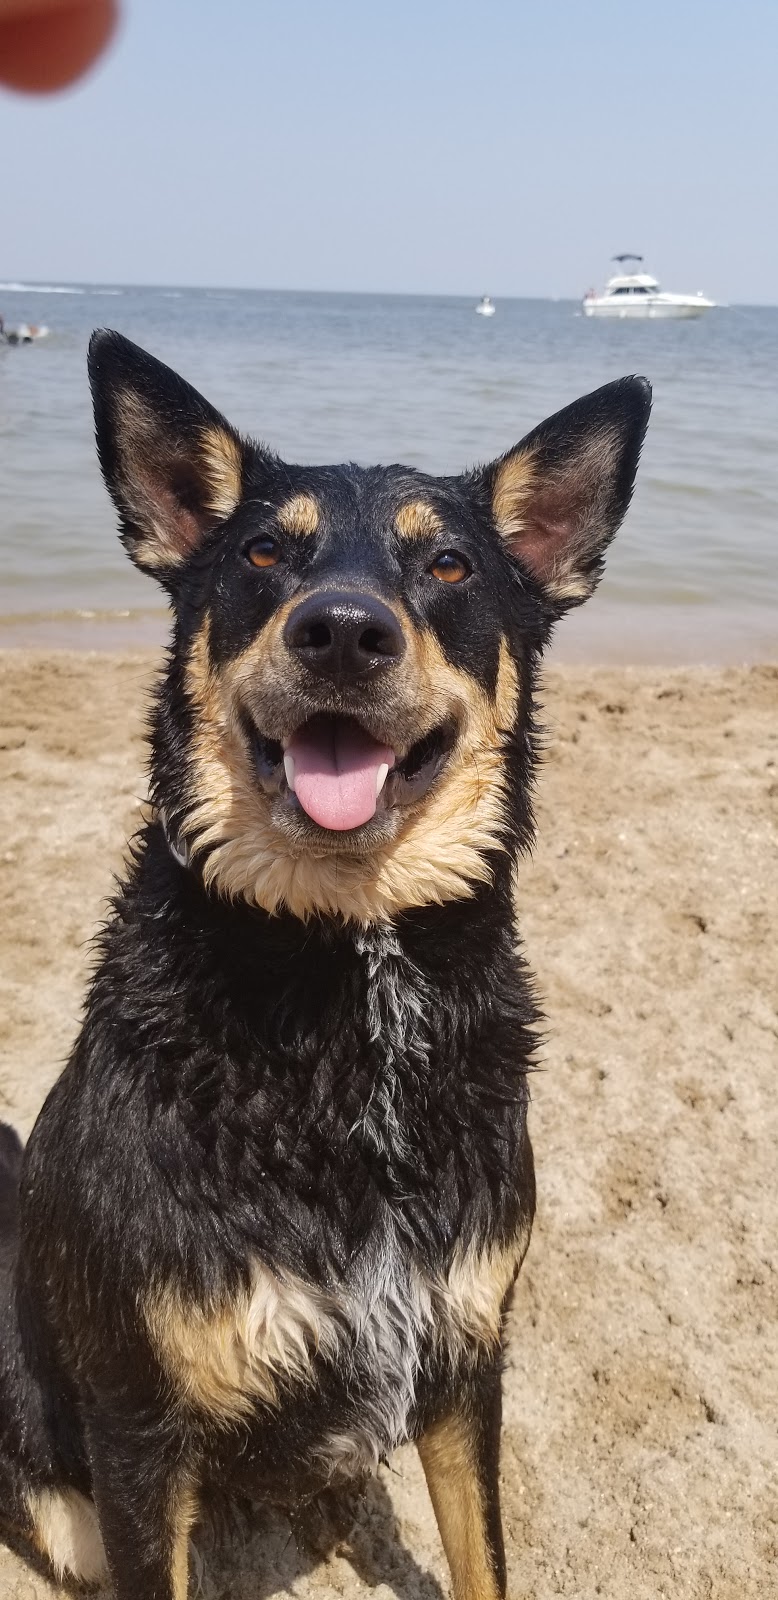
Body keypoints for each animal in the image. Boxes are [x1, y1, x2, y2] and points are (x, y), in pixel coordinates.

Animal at [0, 331, 646, 1593]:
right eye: (262, 550)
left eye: (447, 564)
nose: (342, 629)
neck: (347, 967)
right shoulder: (140, 1429)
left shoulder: (463, 1357)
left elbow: (483, 1557)